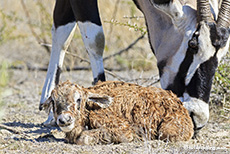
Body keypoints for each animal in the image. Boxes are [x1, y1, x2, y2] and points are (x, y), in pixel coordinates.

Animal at [41, 80, 194, 144]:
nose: (64, 119)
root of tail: (176, 100)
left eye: (78, 99)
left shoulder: (123, 130)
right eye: (53, 101)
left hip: (168, 131)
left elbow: (82, 138)